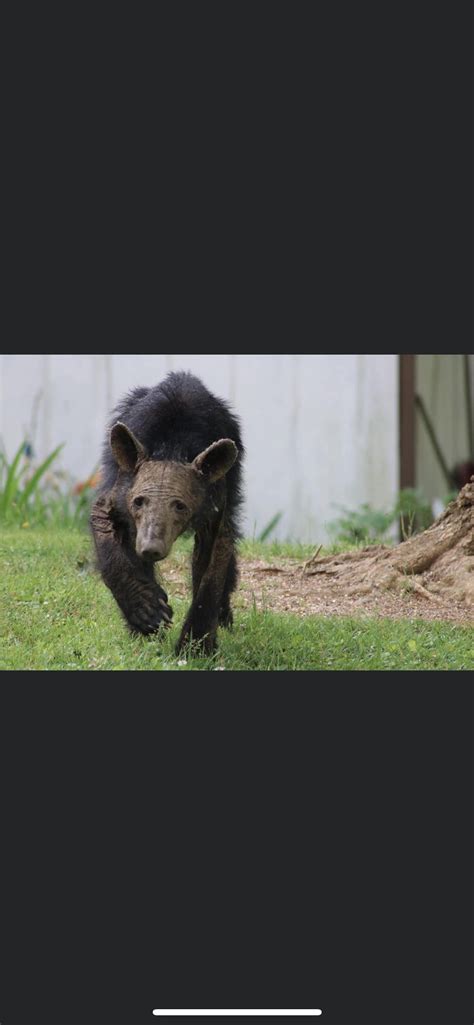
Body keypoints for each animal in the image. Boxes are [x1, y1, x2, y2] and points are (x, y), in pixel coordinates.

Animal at [90, 371, 244, 655]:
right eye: (139, 501)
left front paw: (196, 644)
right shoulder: (119, 490)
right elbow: (104, 529)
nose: (151, 547)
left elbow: (214, 559)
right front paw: (147, 612)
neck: (172, 447)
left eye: (180, 505)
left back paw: (223, 616)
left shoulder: (215, 500)